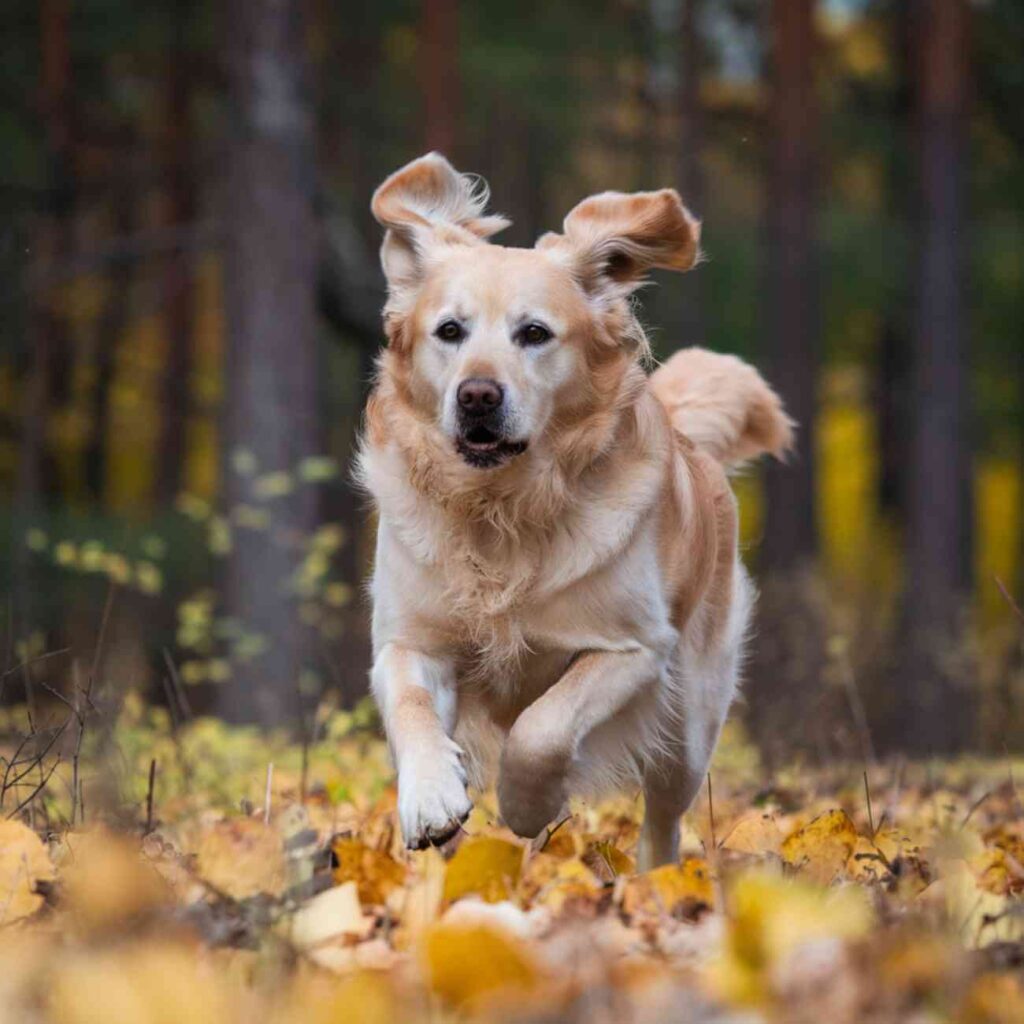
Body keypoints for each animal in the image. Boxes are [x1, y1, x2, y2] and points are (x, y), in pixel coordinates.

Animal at [360, 153, 790, 872]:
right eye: (449, 332)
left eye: (534, 333)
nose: (477, 396)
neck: (501, 510)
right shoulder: (410, 639)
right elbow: (413, 706)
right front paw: (430, 798)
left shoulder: (634, 649)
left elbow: (543, 726)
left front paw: (528, 803)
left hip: (689, 721)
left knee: (664, 817)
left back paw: (656, 880)